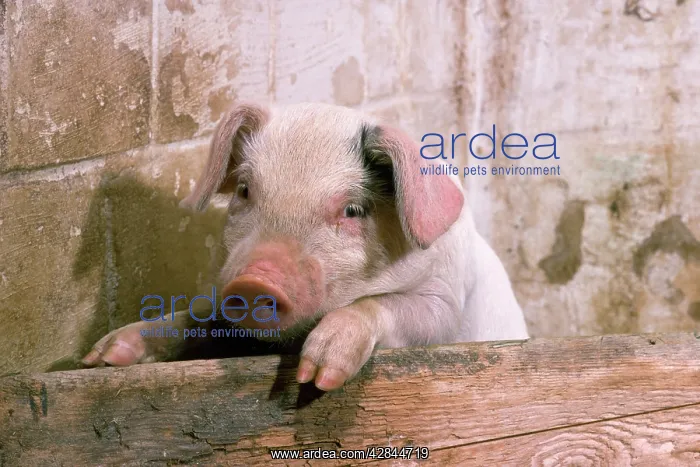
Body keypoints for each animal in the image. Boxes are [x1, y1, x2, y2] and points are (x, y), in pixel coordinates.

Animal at [81, 101, 529, 391]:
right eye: (245, 190)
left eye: (352, 210)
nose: (255, 281)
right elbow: (203, 316)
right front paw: (101, 357)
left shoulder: (447, 301)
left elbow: (392, 307)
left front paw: (317, 377)